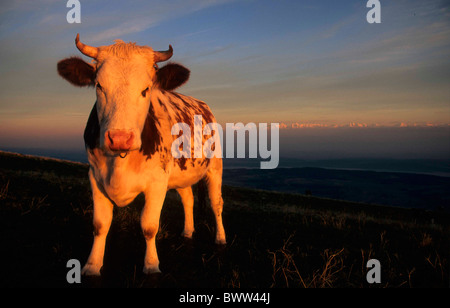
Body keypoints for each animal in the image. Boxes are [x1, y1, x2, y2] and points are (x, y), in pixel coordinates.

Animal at [57, 35, 225, 276]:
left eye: (146, 89)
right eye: (99, 86)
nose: (119, 138)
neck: (119, 164)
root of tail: (203, 105)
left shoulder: (157, 182)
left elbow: (149, 226)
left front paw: (151, 264)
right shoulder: (94, 177)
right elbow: (100, 225)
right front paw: (92, 265)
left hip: (215, 167)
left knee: (216, 203)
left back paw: (220, 238)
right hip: (181, 173)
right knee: (188, 199)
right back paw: (187, 232)